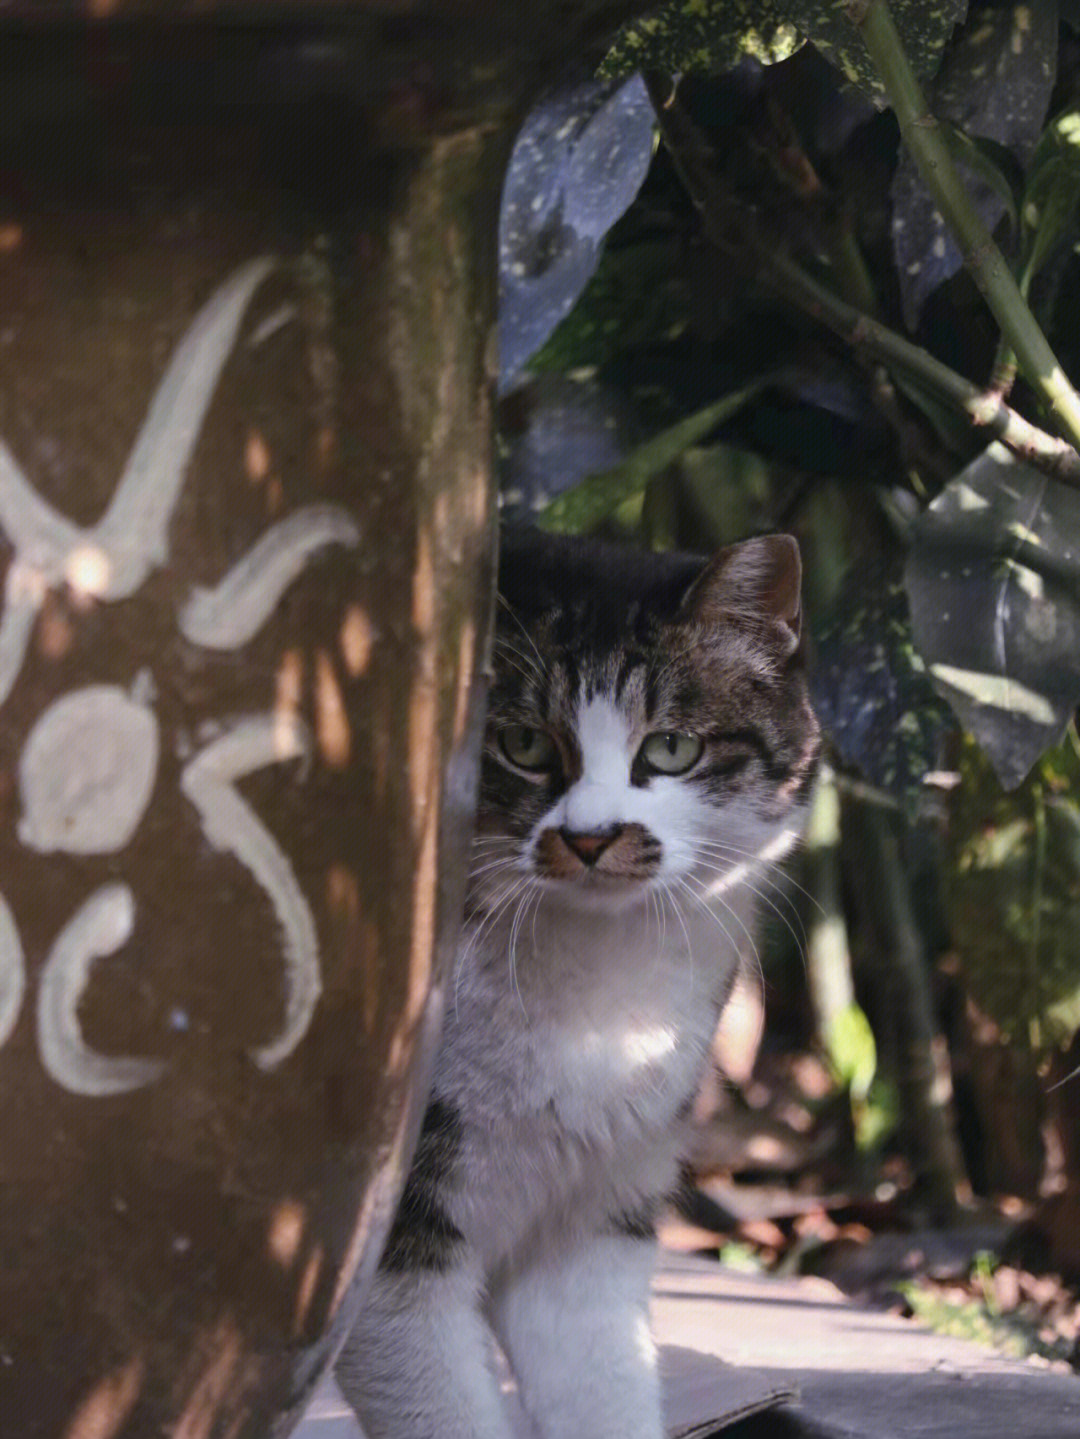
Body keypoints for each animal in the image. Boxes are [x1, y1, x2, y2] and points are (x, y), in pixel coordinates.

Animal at [337, 529, 816, 1439]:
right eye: (523, 743)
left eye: (671, 748)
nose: (592, 837)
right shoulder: (388, 1240)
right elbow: (440, 1405)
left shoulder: (595, 1212)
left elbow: (601, 1379)